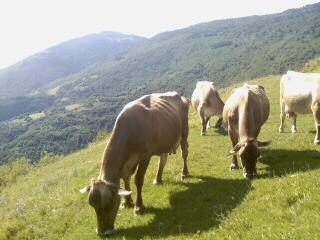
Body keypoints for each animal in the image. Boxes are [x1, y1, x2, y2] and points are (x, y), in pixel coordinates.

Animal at [80, 92, 190, 236]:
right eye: (91, 203)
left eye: (110, 202)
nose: (102, 233)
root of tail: (179, 95)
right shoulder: (126, 163)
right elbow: (125, 178)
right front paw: (126, 202)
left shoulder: (145, 156)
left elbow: (138, 180)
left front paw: (138, 207)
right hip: (163, 141)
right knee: (163, 159)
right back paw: (158, 179)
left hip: (184, 132)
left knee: (184, 153)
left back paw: (185, 173)